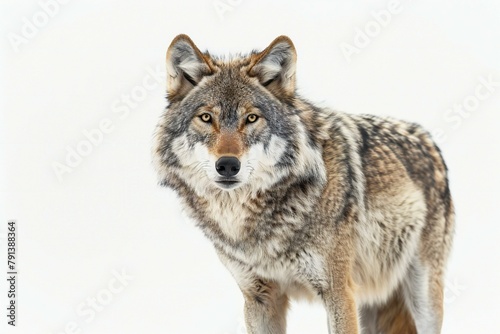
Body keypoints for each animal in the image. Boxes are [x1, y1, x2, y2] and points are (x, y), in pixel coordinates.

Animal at [152, 34, 454, 334]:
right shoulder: (259, 296)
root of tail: (430, 142)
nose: (227, 165)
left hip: (423, 295)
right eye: (206, 117)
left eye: (251, 118)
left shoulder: (338, 292)